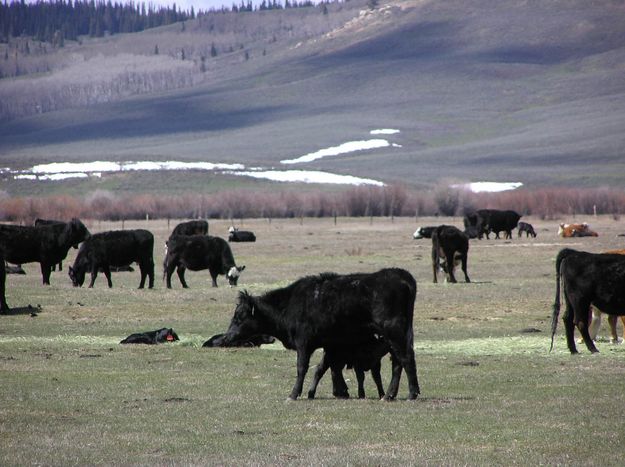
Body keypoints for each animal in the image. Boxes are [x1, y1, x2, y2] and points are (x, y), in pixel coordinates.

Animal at [219, 270, 420, 402]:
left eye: (239, 316)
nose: (227, 337)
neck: (289, 305)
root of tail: (401, 275)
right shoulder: (331, 345)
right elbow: (327, 367)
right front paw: (338, 391)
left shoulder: (304, 344)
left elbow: (303, 368)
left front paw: (294, 394)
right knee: (397, 363)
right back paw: (390, 395)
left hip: (395, 333)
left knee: (406, 359)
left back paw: (411, 393)